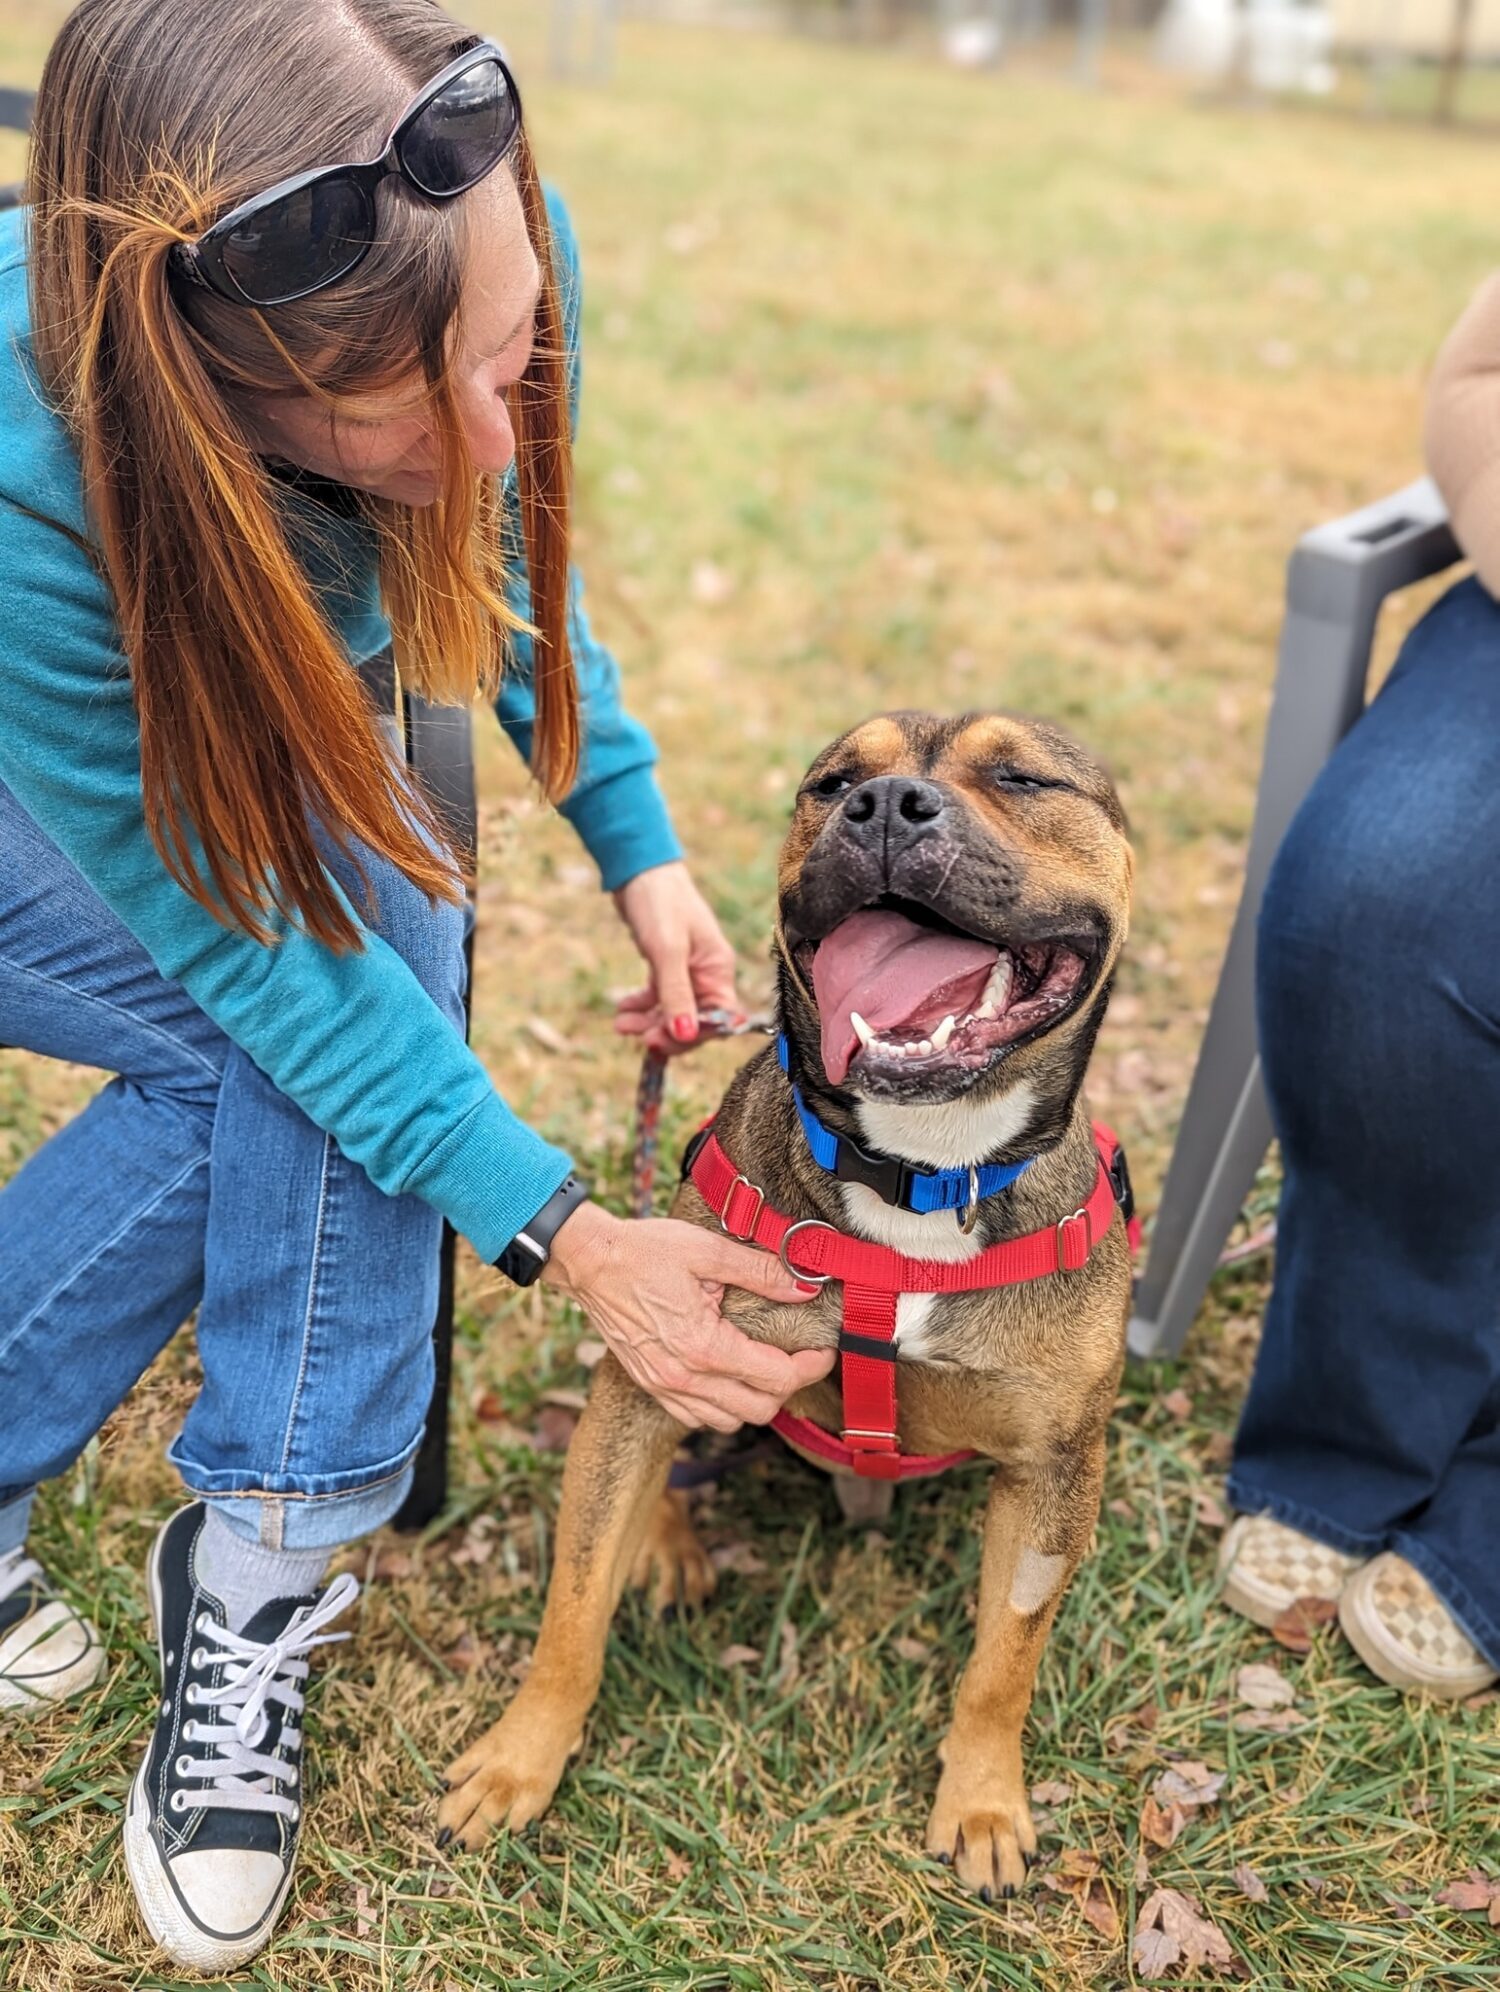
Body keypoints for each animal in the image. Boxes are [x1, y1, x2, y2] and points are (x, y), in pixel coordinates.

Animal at [438, 709, 1131, 1888]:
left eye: (1024, 777)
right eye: (833, 783)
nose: (885, 806)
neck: (919, 1170)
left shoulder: (1052, 1473)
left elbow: (1004, 1662)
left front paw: (984, 1802)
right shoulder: (661, 1351)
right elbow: (573, 1605)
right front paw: (521, 1758)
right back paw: (667, 1543)